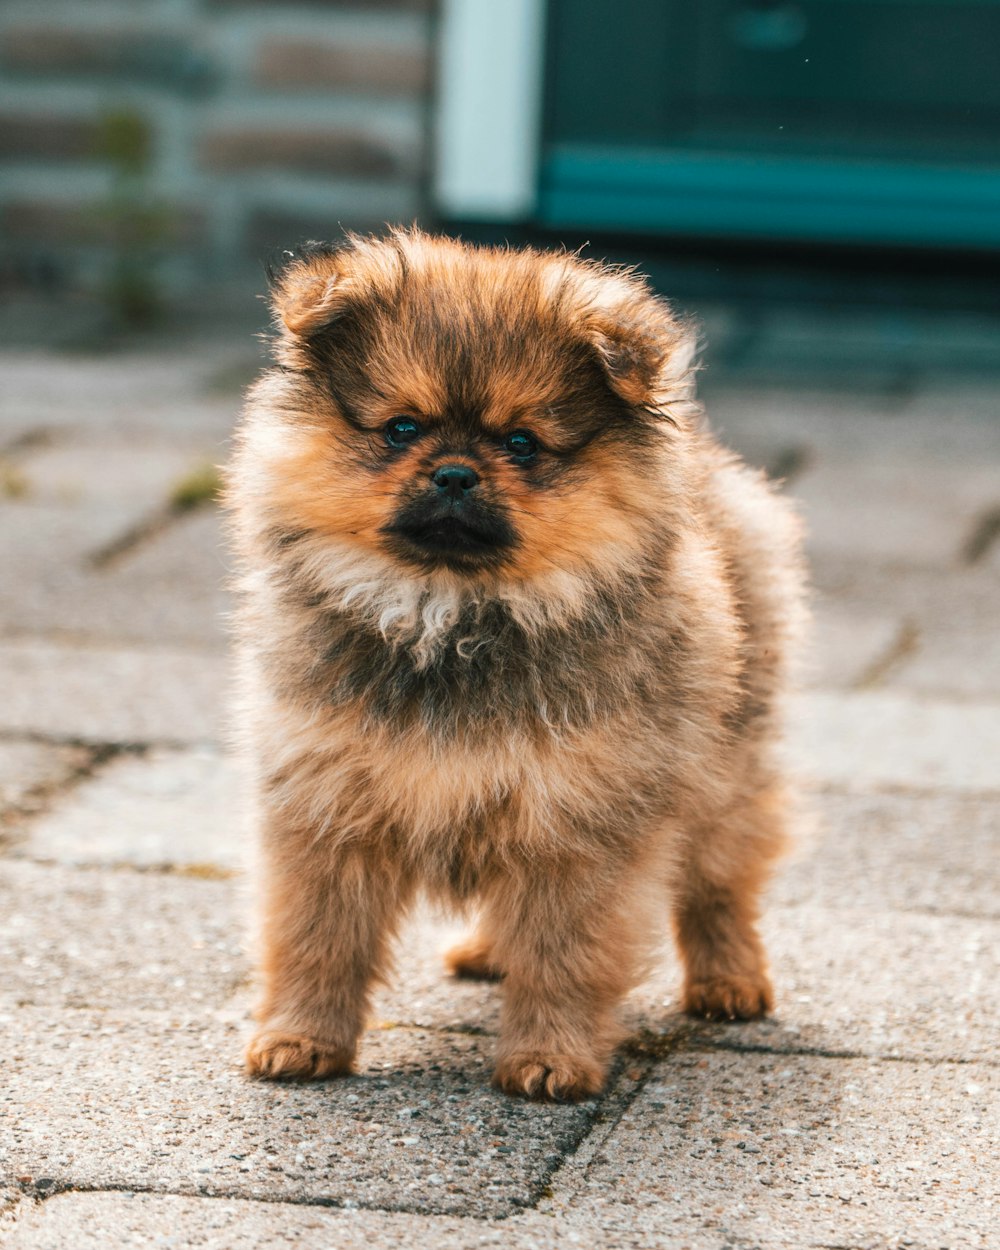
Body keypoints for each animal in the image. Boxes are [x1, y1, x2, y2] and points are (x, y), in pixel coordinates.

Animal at [226, 227, 805, 1105]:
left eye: (522, 443)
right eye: (402, 428)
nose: (455, 472)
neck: (452, 615)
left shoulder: (578, 822)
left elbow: (565, 954)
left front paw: (549, 1057)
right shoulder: (324, 808)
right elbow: (317, 939)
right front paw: (299, 1039)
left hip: (725, 775)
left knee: (717, 884)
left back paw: (728, 981)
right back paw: (487, 951)